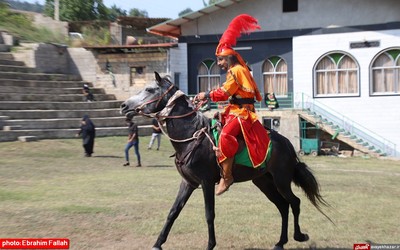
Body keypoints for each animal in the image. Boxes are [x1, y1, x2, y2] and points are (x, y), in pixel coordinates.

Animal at [119, 71, 332, 249]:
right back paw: (280, 242)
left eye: (149, 89)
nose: (123, 105)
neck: (191, 135)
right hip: (263, 181)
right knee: (283, 206)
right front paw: (158, 243)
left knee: (294, 202)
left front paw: (210, 245)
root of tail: (288, 143)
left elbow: (209, 214)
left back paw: (298, 236)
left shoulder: (206, 183)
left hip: (281, 180)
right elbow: (173, 212)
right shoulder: (188, 183)